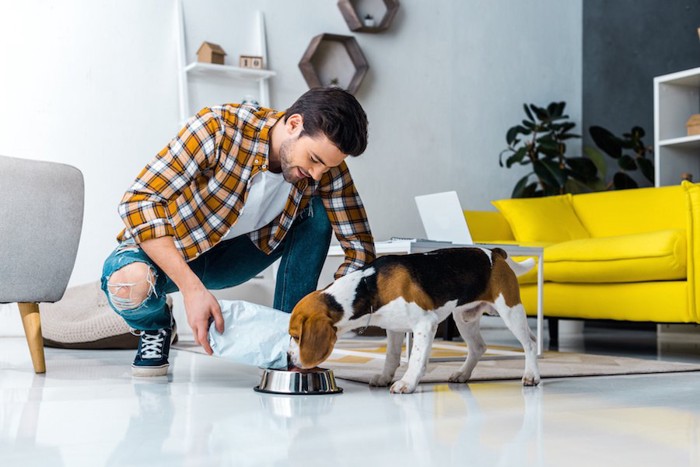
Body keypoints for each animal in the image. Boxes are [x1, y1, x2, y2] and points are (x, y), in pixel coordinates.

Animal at [288, 247, 540, 394]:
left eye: (297, 336)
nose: (289, 359)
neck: (369, 287)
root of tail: (495, 252)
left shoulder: (425, 324)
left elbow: (416, 359)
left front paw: (407, 383)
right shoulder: (394, 328)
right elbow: (391, 357)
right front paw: (385, 377)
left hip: (510, 310)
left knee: (530, 343)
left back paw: (531, 375)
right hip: (463, 317)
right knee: (479, 347)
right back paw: (462, 374)